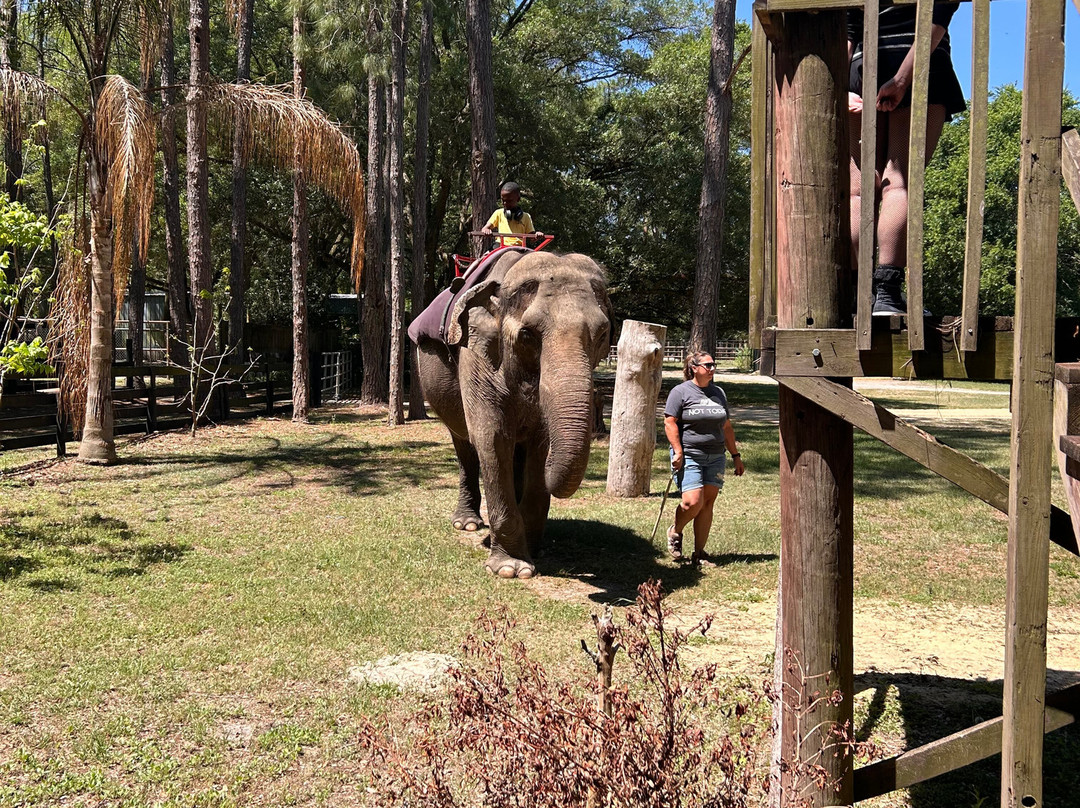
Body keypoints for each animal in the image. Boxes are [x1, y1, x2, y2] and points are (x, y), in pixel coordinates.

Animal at [413, 250, 612, 579]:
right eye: (527, 335)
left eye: (602, 334)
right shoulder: (477, 355)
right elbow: (492, 440)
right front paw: (511, 569)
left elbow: (539, 445)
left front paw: (534, 550)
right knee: (465, 446)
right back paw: (467, 523)